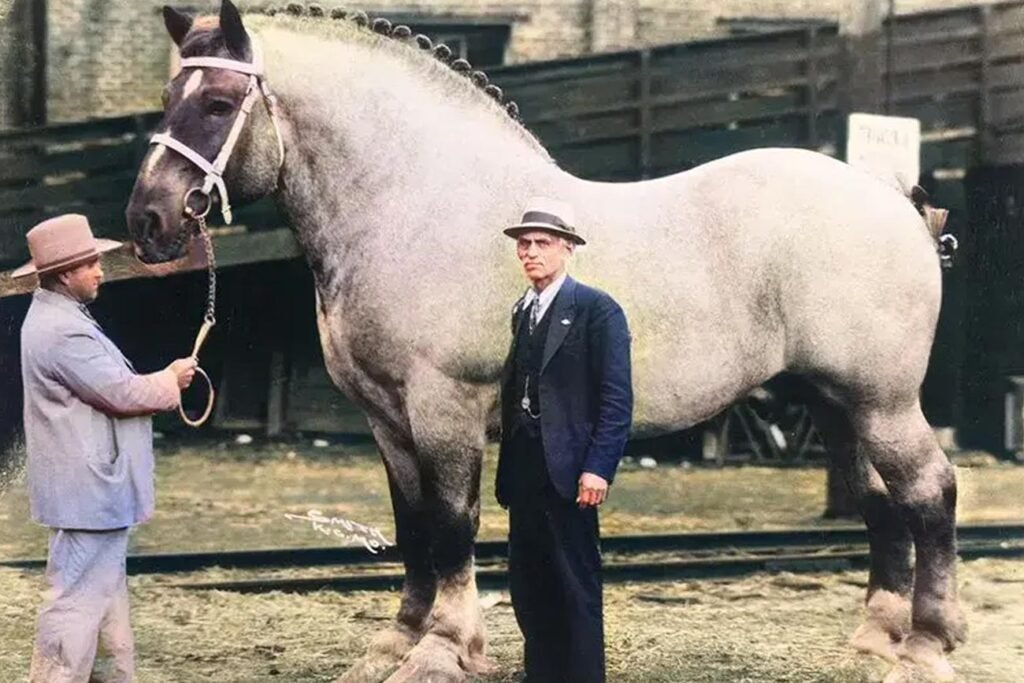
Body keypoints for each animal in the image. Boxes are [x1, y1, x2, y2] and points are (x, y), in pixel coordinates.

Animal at [126, 3, 964, 681]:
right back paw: (875, 638)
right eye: (166, 100)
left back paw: (927, 643)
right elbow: (412, 527)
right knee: (879, 500)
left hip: (882, 401)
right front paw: (396, 641)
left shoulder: (444, 407)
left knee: (929, 491)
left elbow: (451, 525)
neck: (415, 202)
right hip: (834, 402)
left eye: (218, 101)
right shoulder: (387, 419)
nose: (148, 220)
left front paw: (443, 649)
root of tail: (894, 199)